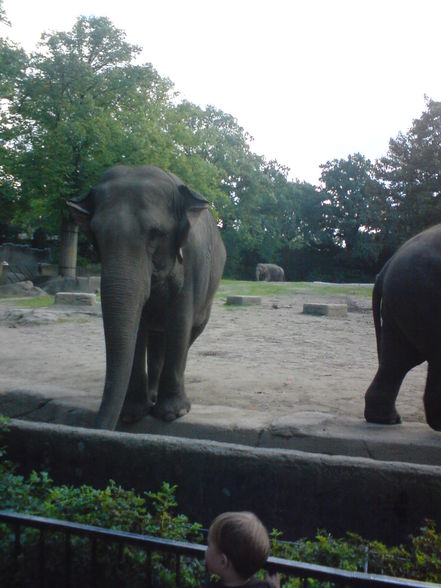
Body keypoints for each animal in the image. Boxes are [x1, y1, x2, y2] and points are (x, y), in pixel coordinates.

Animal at [69, 163, 227, 430]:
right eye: (95, 235)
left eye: (156, 233)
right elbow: (138, 328)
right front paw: (131, 413)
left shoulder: (191, 263)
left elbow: (179, 323)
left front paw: (172, 414)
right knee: (157, 338)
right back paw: (152, 395)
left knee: (187, 333)